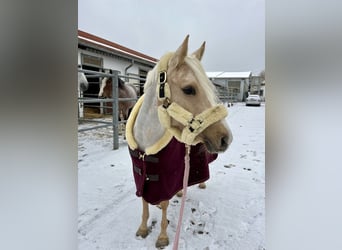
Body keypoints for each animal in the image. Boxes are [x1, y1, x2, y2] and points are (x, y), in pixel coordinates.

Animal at [127, 35, 234, 248]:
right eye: (189, 89)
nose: (226, 138)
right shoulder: (141, 173)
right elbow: (144, 200)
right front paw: (143, 229)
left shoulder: (166, 174)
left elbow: (164, 203)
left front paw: (162, 237)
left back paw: (200, 184)